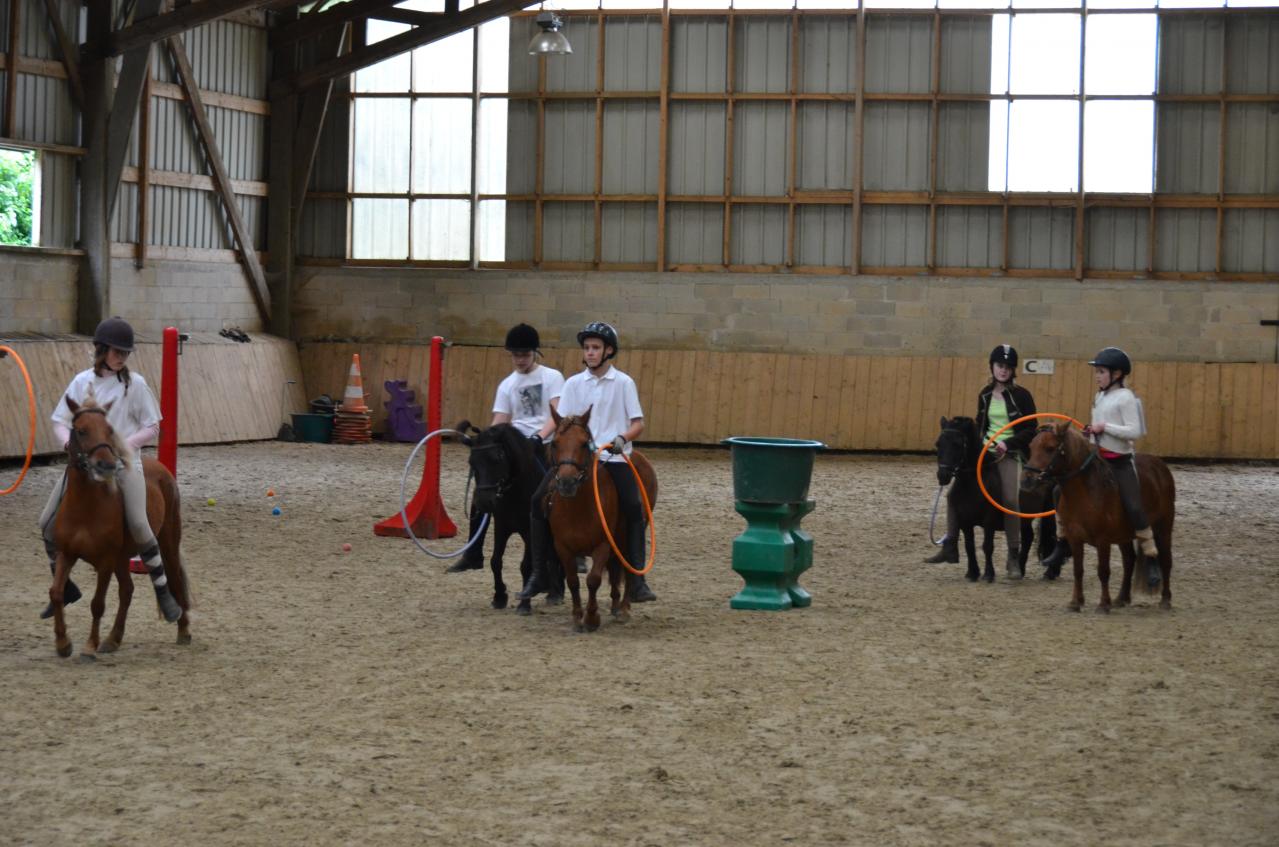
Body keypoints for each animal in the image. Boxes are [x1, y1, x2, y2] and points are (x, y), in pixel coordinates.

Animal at [49, 394, 191, 660]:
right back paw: (113, 639)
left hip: (167, 541)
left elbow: (97, 603)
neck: (85, 507)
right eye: (81, 430)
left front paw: (89, 646)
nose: (106, 464)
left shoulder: (105, 561)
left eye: (109, 429)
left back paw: (183, 629)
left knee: (174, 580)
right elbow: (57, 592)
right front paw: (63, 643)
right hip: (122, 558)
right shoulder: (67, 553)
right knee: (127, 590)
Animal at [457, 422, 562, 616]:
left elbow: (526, 565)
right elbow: (495, 561)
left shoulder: (529, 530)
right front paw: (499, 597)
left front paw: (524, 604)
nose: (484, 501)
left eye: (497, 458)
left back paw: (555, 592)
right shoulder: (502, 526)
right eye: (472, 462)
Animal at [544, 409, 659, 634]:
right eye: (555, 443)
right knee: (615, 571)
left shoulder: (603, 544)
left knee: (629, 567)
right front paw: (577, 618)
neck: (579, 507)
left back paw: (623, 609)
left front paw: (591, 619)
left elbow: (593, 579)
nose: (567, 483)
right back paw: (615, 605)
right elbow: (573, 581)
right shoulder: (562, 547)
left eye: (583, 443)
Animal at [931, 417, 1059, 583]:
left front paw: (988, 574)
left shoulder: (989, 520)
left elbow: (987, 546)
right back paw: (1020, 569)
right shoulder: (965, 521)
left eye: (957, 444)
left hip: (1049, 513)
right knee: (1028, 537)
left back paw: (1050, 572)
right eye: (938, 444)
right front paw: (972, 573)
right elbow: (969, 545)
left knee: (1052, 537)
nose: (943, 475)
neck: (973, 483)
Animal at [1018, 422, 1176, 611]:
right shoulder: (1075, 538)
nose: (1026, 480)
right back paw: (1121, 598)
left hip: (1163, 527)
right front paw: (1076, 602)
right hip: (1124, 535)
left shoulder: (1103, 540)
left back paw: (1165, 599)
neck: (1086, 491)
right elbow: (1078, 570)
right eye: (1031, 447)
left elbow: (1103, 571)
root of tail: (1160, 465)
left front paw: (1103, 603)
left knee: (1165, 560)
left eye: (1050, 448)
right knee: (1129, 560)